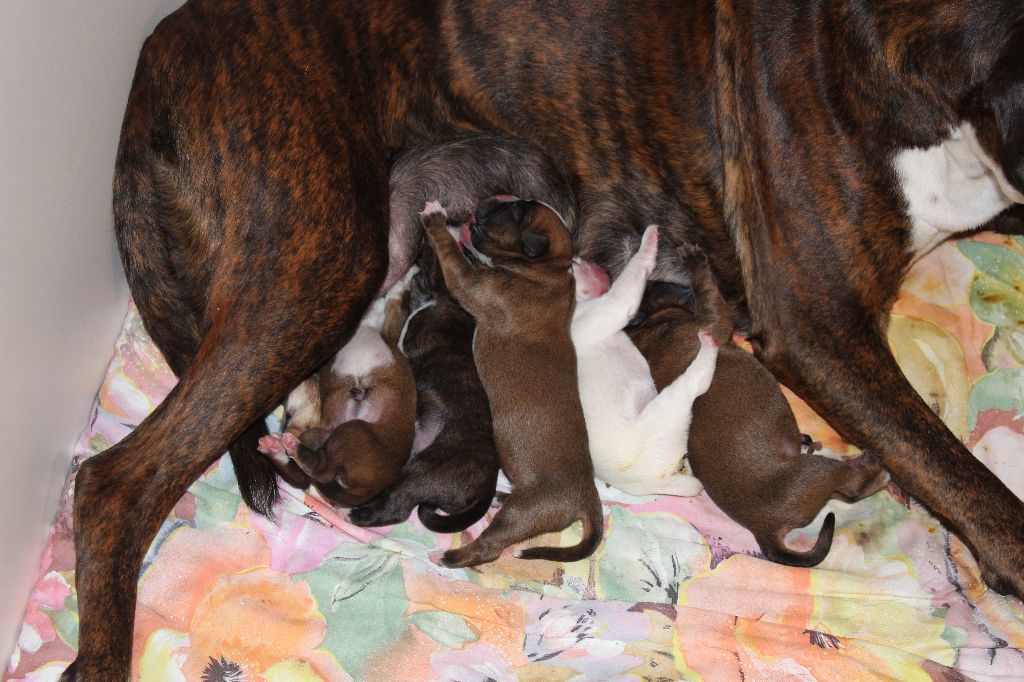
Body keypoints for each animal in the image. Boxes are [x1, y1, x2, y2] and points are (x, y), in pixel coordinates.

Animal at [419, 197, 602, 569]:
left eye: (516, 212)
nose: (488, 200)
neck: (548, 270)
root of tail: (587, 497)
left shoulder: (470, 284)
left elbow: (451, 256)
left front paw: (436, 221)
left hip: (522, 514)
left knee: (489, 547)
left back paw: (451, 556)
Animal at [569, 225, 720, 497]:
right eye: (574, 262)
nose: (600, 267)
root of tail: (659, 482)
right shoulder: (612, 306)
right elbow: (634, 273)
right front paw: (649, 241)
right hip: (666, 410)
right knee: (696, 383)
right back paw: (707, 348)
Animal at [622, 246, 888, 565]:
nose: (660, 276)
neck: (651, 334)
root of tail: (765, 529)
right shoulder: (714, 322)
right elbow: (709, 291)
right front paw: (696, 262)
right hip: (819, 472)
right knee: (853, 486)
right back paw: (873, 470)